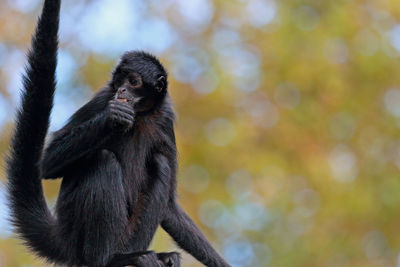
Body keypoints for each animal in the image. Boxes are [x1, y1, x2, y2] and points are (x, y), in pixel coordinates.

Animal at [5, 0, 231, 267]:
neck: (140, 115)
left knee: (160, 163)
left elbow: (171, 207)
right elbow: (48, 165)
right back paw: (108, 259)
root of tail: (63, 238)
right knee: (103, 160)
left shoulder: (165, 120)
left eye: (133, 81)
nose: (121, 90)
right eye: (120, 80)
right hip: (77, 232)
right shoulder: (103, 98)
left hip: (129, 233)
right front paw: (111, 119)